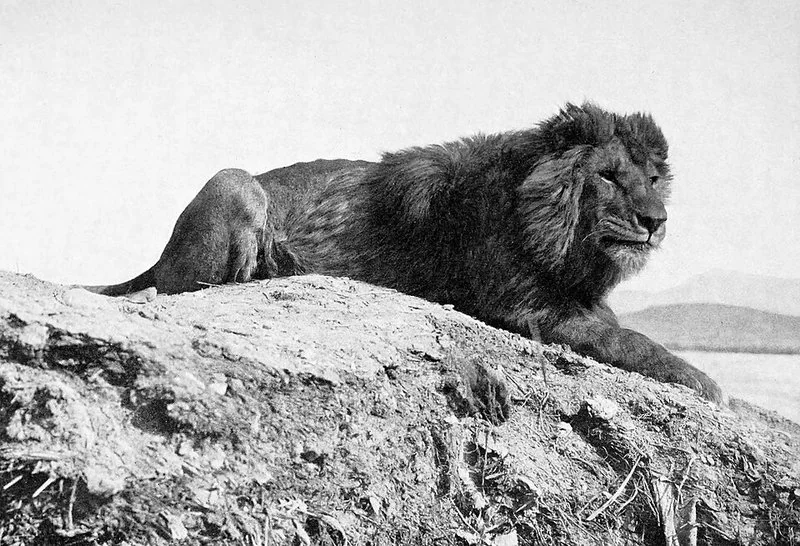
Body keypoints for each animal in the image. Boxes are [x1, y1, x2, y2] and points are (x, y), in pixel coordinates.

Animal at [86, 103, 723, 403]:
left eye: (655, 178)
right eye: (610, 176)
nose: (656, 222)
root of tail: (157, 255)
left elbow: (621, 328)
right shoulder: (523, 309)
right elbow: (629, 339)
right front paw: (707, 383)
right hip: (233, 182)